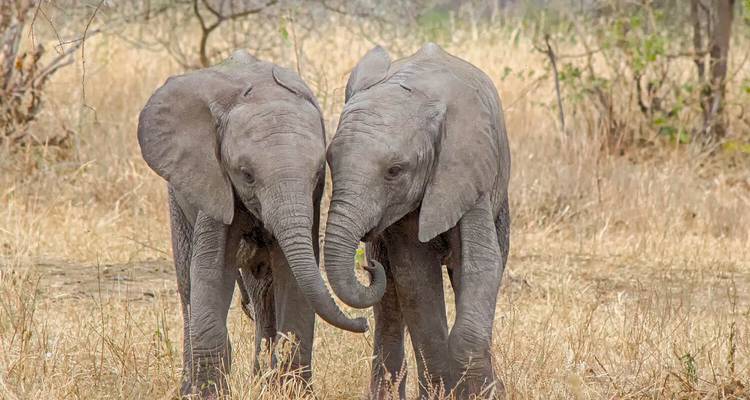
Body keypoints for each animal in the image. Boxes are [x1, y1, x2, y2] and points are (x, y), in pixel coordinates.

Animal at [137, 50, 370, 398]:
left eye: (318, 171)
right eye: (246, 174)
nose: (364, 323)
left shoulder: (312, 199)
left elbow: (293, 275)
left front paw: (294, 392)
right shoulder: (213, 177)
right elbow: (210, 270)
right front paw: (210, 393)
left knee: (262, 293)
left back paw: (263, 382)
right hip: (177, 196)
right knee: (188, 285)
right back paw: (190, 388)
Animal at [323, 43, 511, 399]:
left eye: (395, 171)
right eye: (329, 161)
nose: (369, 267)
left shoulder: (467, 172)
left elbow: (481, 265)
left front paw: (481, 390)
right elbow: (415, 277)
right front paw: (443, 391)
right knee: (389, 307)